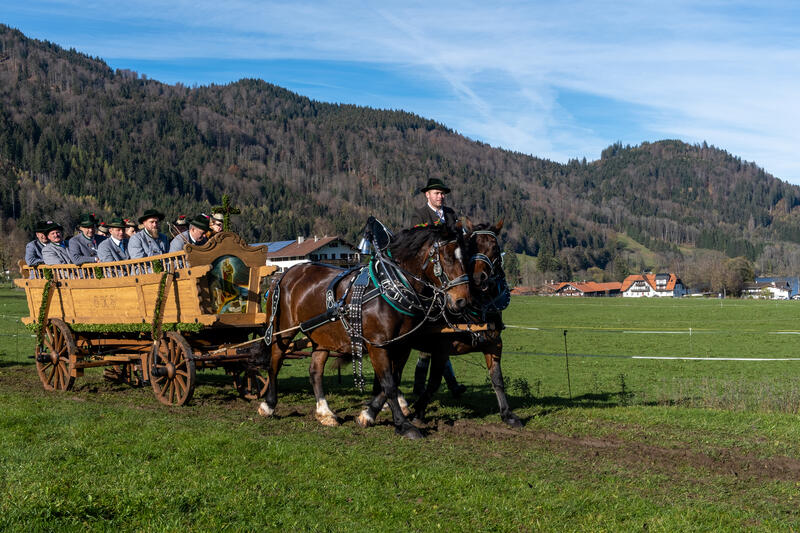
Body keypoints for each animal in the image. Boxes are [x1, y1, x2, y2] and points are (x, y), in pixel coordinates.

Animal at [256, 222, 472, 438]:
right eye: (447, 257)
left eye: (465, 257)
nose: (462, 301)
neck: (390, 288)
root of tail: (286, 273)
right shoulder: (378, 346)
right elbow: (389, 385)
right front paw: (403, 425)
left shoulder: (402, 346)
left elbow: (391, 382)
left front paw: (368, 414)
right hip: (283, 330)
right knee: (275, 362)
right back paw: (269, 405)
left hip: (321, 335)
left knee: (315, 371)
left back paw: (325, 412)